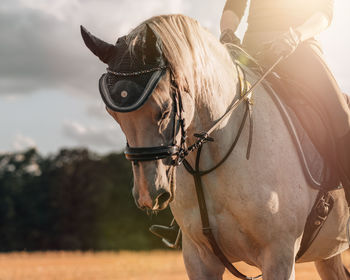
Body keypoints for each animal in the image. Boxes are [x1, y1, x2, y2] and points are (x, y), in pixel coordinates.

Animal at [82, 14, 350, 280]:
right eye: (114, 115)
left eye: (165, 110)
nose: (149, 195)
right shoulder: (198, 258)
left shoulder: (279, 255)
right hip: (327, 254)